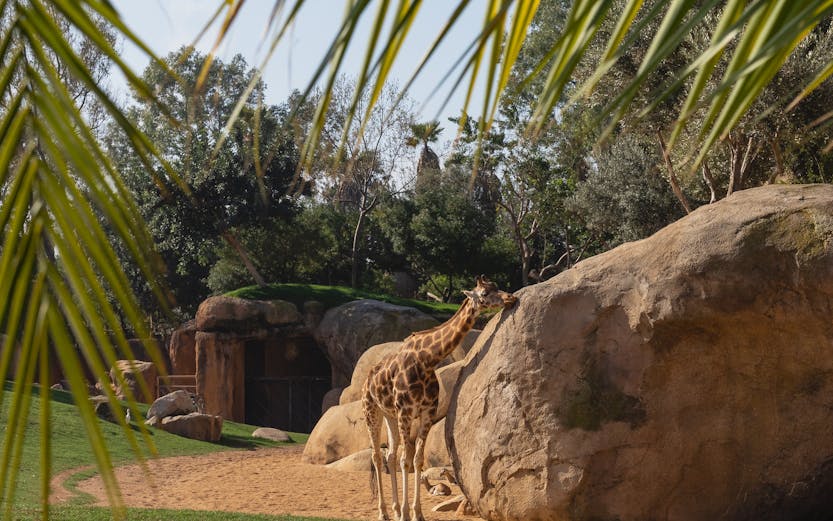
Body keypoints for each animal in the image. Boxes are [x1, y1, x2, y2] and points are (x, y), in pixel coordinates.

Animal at [362, 275, 518, 521]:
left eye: (496, 286)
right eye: (484, 293)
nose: (511, 297)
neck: (427, 360)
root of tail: (367, 380)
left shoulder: (426, 413)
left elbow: (417, 460)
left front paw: (416, 513)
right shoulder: (406, 413)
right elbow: (407, 461)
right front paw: (406, 514)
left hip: (389, 415)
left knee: (390, 456)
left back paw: (394, 509)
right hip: (371, 411)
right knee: (377, 456)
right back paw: (384, 513)